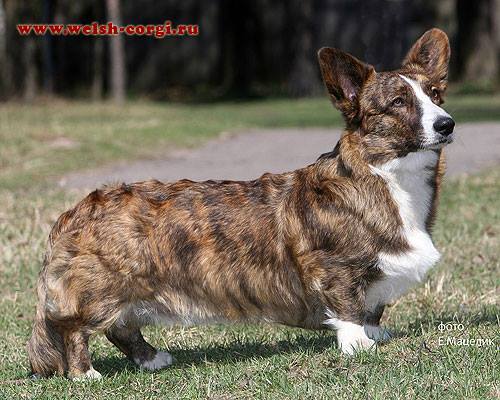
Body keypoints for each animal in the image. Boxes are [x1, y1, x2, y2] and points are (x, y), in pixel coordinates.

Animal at [29, 28, 456, 378]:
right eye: (398, 102)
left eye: (435, 95)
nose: (447, 124)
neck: (387, 178)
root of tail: (73, 213)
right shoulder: (333, 268)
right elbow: (349, 307)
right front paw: (359, 345)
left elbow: (373, 309)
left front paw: (376, 333)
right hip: (101, 290)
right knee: (75, 329)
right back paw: (86, 374)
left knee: (122, 326)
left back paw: (153, 358)